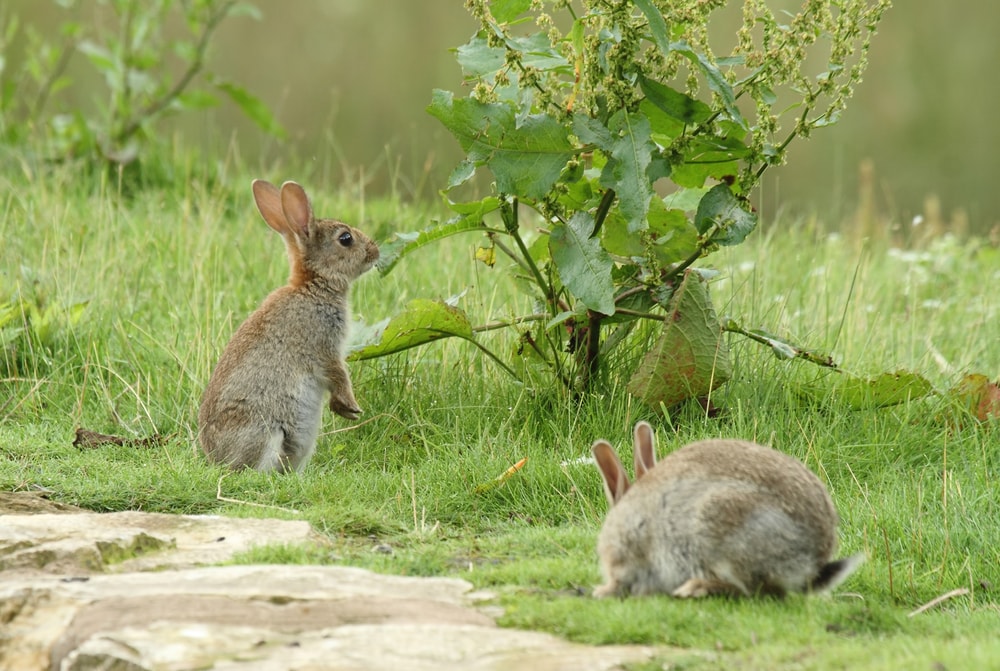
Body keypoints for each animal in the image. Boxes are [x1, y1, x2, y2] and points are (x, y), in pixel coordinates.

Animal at [198, 179, 379, 473]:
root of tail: (216, 459)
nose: (375, 251)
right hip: (264, 431)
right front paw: (350, 407)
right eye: (345, 239)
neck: (313, 285)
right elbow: (338, 375)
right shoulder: (324, 347)